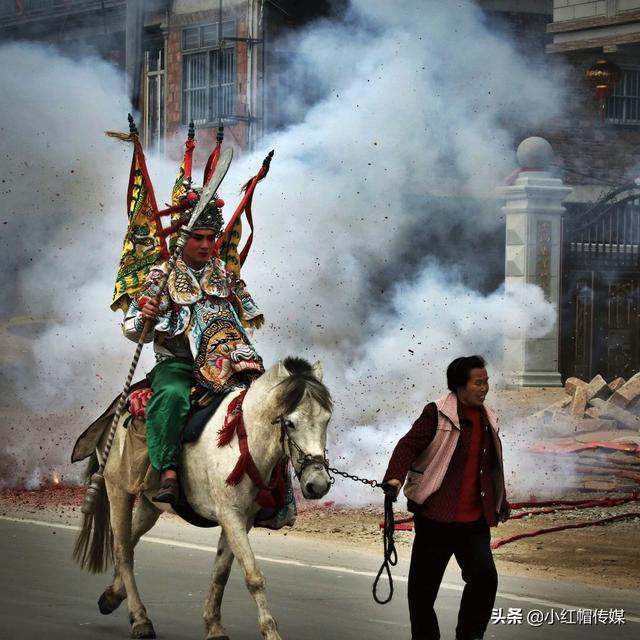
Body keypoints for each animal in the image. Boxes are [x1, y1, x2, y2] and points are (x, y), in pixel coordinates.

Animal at [75, 358, 332, 636]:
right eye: (291, 423)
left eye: (327, 420)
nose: (318, 484)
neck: (243, 440)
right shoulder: (230, 515)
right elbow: (253, 575)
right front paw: (271, 632)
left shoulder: (242, 520)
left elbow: (221, 572)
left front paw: (214, 626)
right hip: (118, 489)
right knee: (123, 550)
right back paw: (140, 620)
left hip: (151, 504)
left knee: (129, 541)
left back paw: (112, 596)